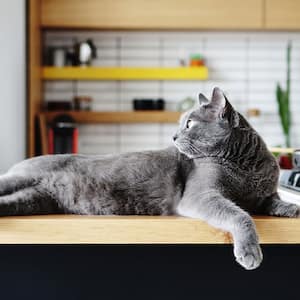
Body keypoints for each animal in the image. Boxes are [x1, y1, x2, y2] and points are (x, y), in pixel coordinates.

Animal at [0, 87, 300, 270]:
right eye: (181, 123)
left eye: (189, 124)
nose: (174, 136)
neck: (244, 164)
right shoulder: (200, 196)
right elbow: (240, 214)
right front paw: (249, 252)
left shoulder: (264, 195)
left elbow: (273, 201)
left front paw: (292, 208)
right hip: (21, 180)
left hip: (35, 200)